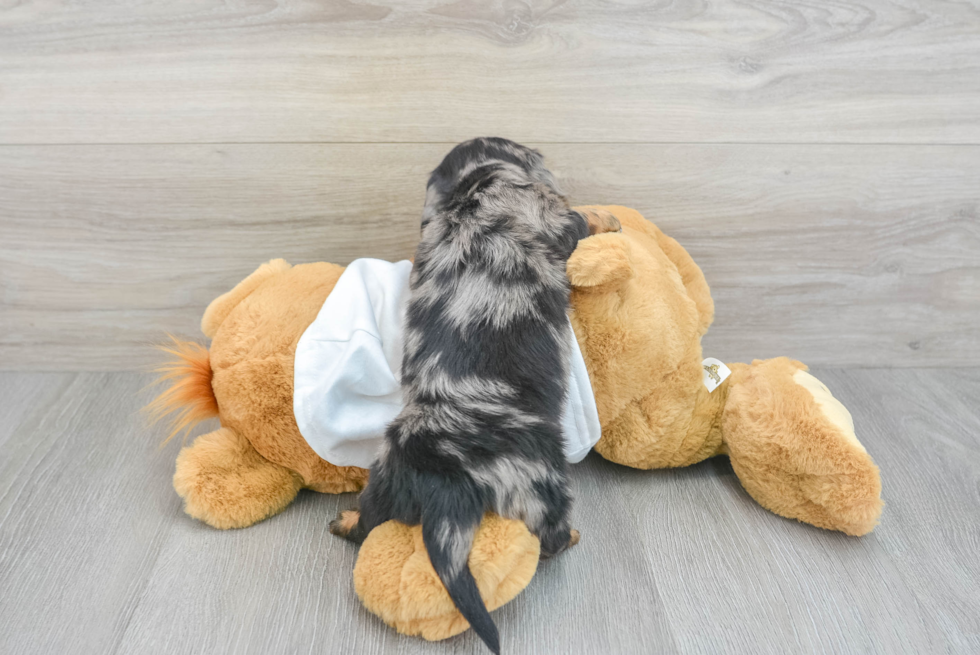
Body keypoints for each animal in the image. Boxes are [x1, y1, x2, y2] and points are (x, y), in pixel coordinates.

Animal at [330, 136, 616, 652]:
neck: (468, 193)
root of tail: (440, 475)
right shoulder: (552, 218)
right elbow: (582, 218)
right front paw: (608, 216)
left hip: (384, 479)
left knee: (367, 524)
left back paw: (342, 520)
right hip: (542, 484)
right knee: (551, 538)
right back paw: (571, 536)